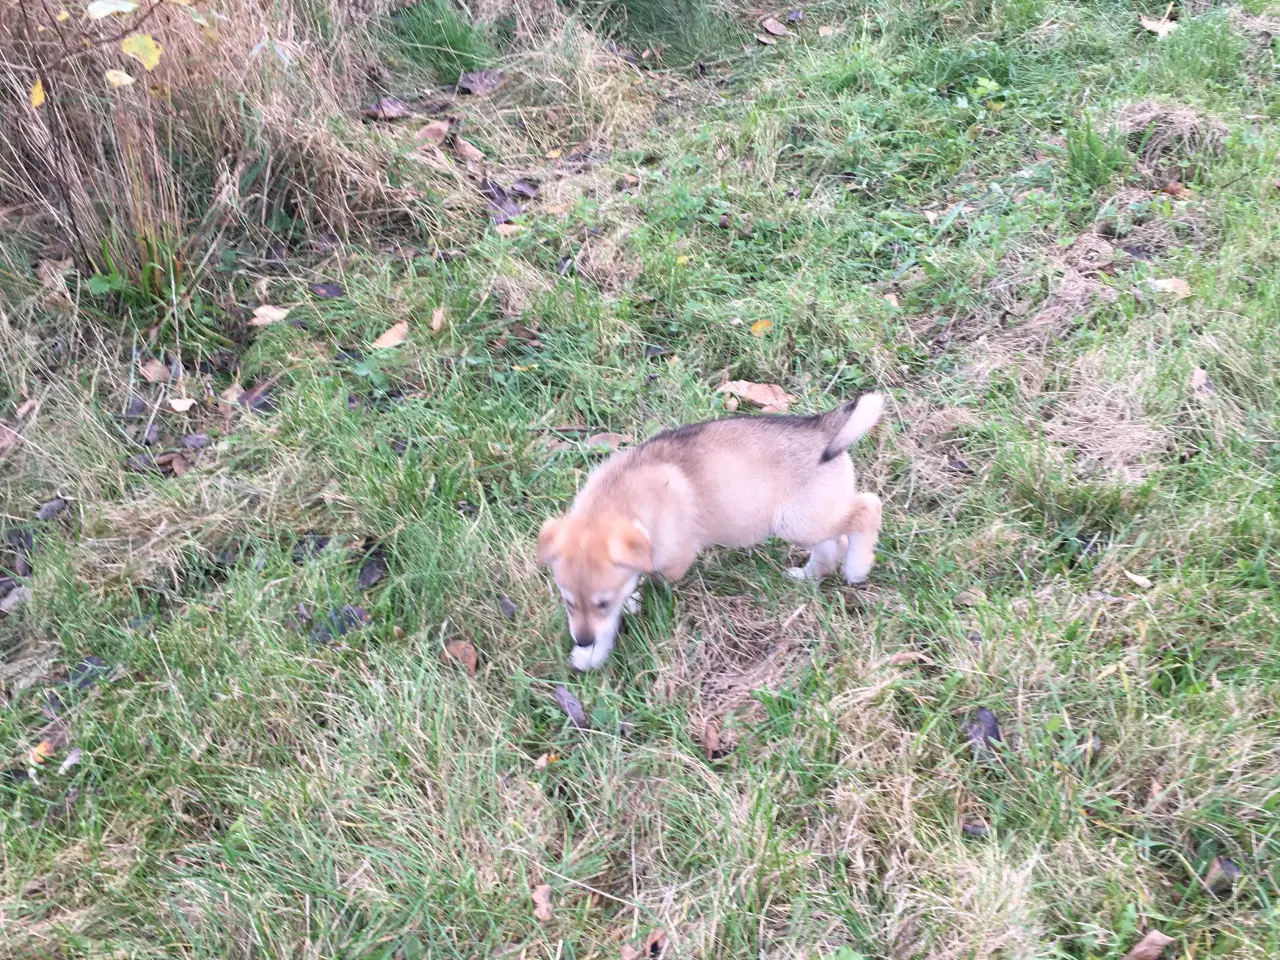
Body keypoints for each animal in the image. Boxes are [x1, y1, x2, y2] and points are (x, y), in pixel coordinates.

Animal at [535, 394, 885, 670]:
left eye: (602, 603)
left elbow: (631, 597)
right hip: (809, 519)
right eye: (568, 602)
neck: (617, 499)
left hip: (797, 520)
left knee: (868, 508)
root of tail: (822, 426)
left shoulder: (669, 563)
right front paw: (592, 655)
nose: (582, 641)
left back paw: (857, 567)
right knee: (834, 542)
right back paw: (810, 575)